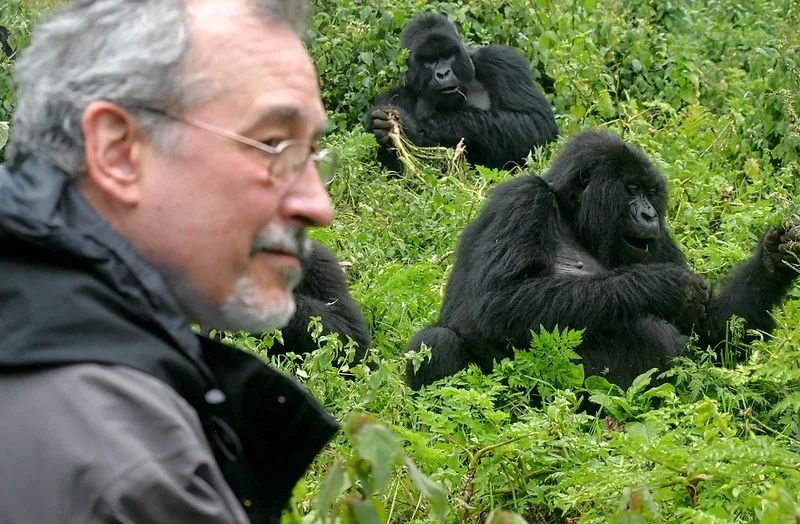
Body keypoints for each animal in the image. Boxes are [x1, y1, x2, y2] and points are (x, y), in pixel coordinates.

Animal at [364, 12, 556, 172]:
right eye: (428, 60)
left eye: (448, 55)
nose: (442, 73)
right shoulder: (395, 96)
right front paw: (380, 128)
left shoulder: (502, 61)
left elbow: (535, 121)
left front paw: (426, 127)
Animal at [406, 129, 800, 390]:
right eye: (631, 190)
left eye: (651, 193)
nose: (649, 215)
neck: (571, 213)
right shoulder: (521, 198)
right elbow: (494, 304)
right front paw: (660, 287)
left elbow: (711, 336)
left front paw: (774, 260)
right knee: (436, 341)